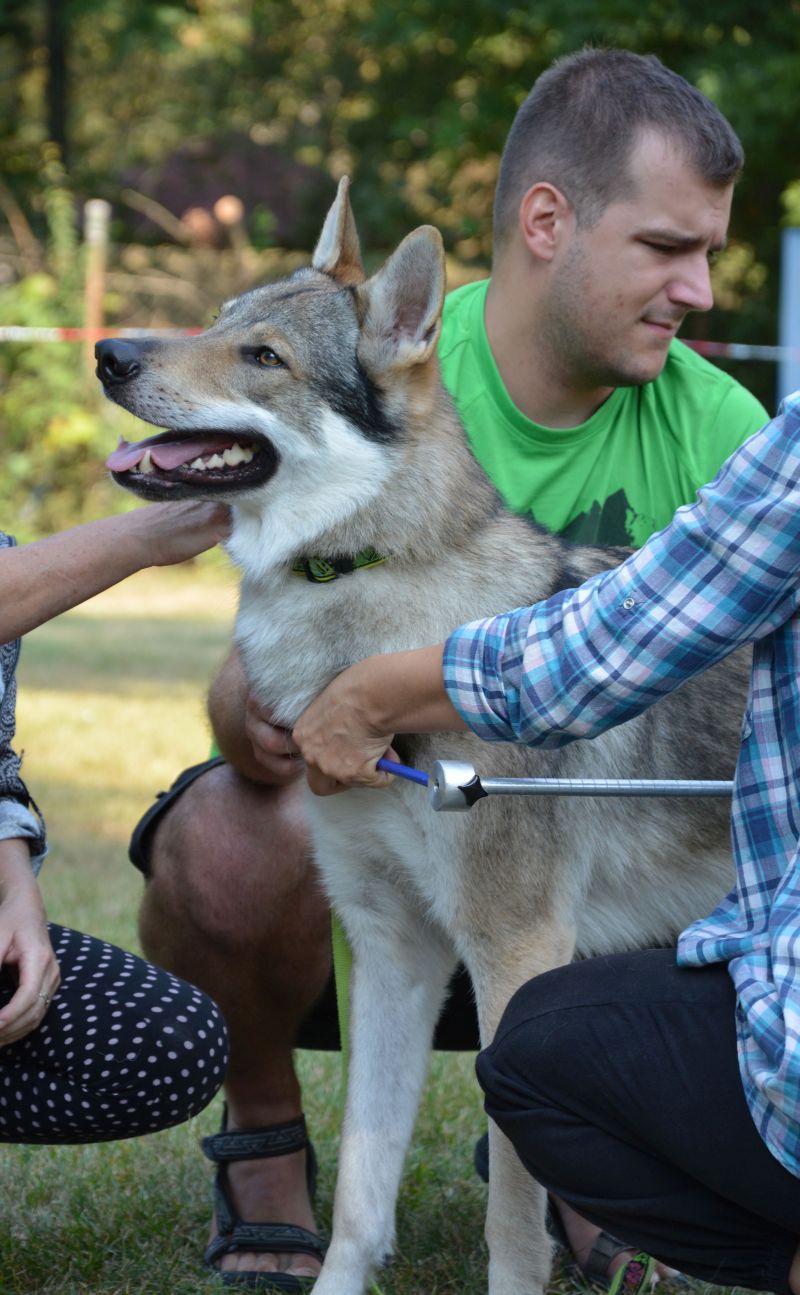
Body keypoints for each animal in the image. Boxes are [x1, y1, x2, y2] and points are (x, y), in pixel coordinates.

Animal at [96, 180, 745, 1295]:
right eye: (215, 321)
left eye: (261, 355)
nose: (107, 353)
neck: (362, 587)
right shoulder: (393, 948)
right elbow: (363, 1188)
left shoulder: (513, 952)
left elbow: (511, 1217)